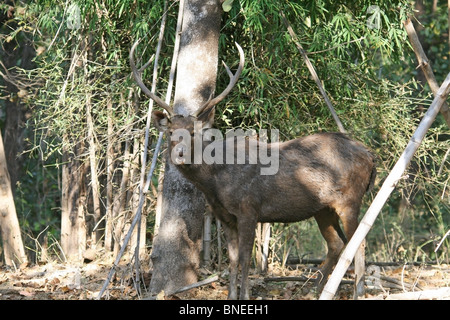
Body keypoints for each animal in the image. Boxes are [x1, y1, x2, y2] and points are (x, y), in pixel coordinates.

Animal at [130, 40, 376, 300]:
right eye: (170, 132)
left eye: (193, 132)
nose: (180, 155)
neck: (215, 182)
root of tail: (370, 156)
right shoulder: (225, 216)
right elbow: (233, 260)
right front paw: (231, 296)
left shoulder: (249, 208)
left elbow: (246, 258)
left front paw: (246, 295)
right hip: (323, 208)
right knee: (337, 244)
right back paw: (316, 291)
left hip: (350, 199)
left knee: (359, 241)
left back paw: (358, 292)